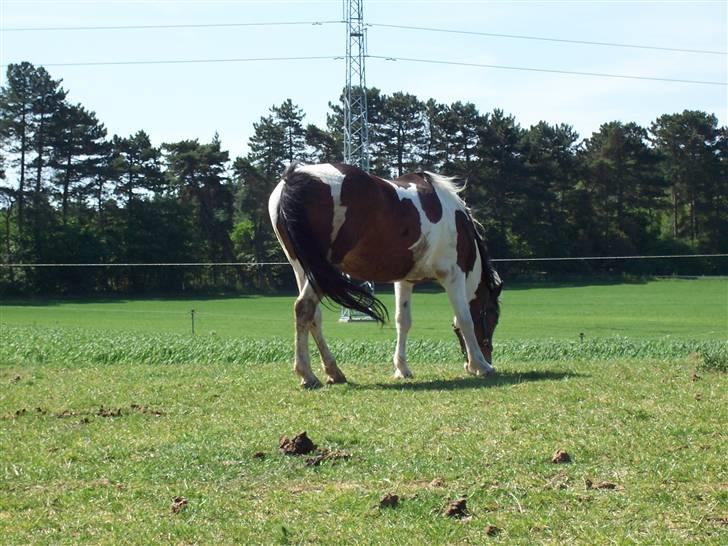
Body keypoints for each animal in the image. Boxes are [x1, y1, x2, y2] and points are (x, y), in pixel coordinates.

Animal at [270, 162, 504, 386]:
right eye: (492, 317)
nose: (488, 357)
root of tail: (295, 177)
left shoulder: (405, 280)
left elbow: (403, 321)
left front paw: (402, 369)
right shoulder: (453, 275)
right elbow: (465, 319)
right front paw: (480, 365)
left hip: (305, 269)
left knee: (313, 316)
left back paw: (333, 372)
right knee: (304, 308)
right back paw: (307, 375)